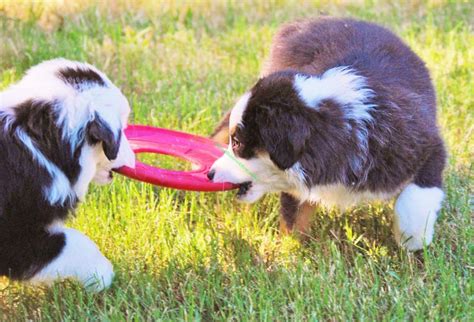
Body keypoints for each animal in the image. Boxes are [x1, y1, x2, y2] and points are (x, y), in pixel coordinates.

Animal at [209, 17, 446, 252]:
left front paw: (413, 242)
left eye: (238, 143)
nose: (210, 174)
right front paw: (288, 253)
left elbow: (414, 200)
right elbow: (293, 221)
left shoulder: (424, 146)